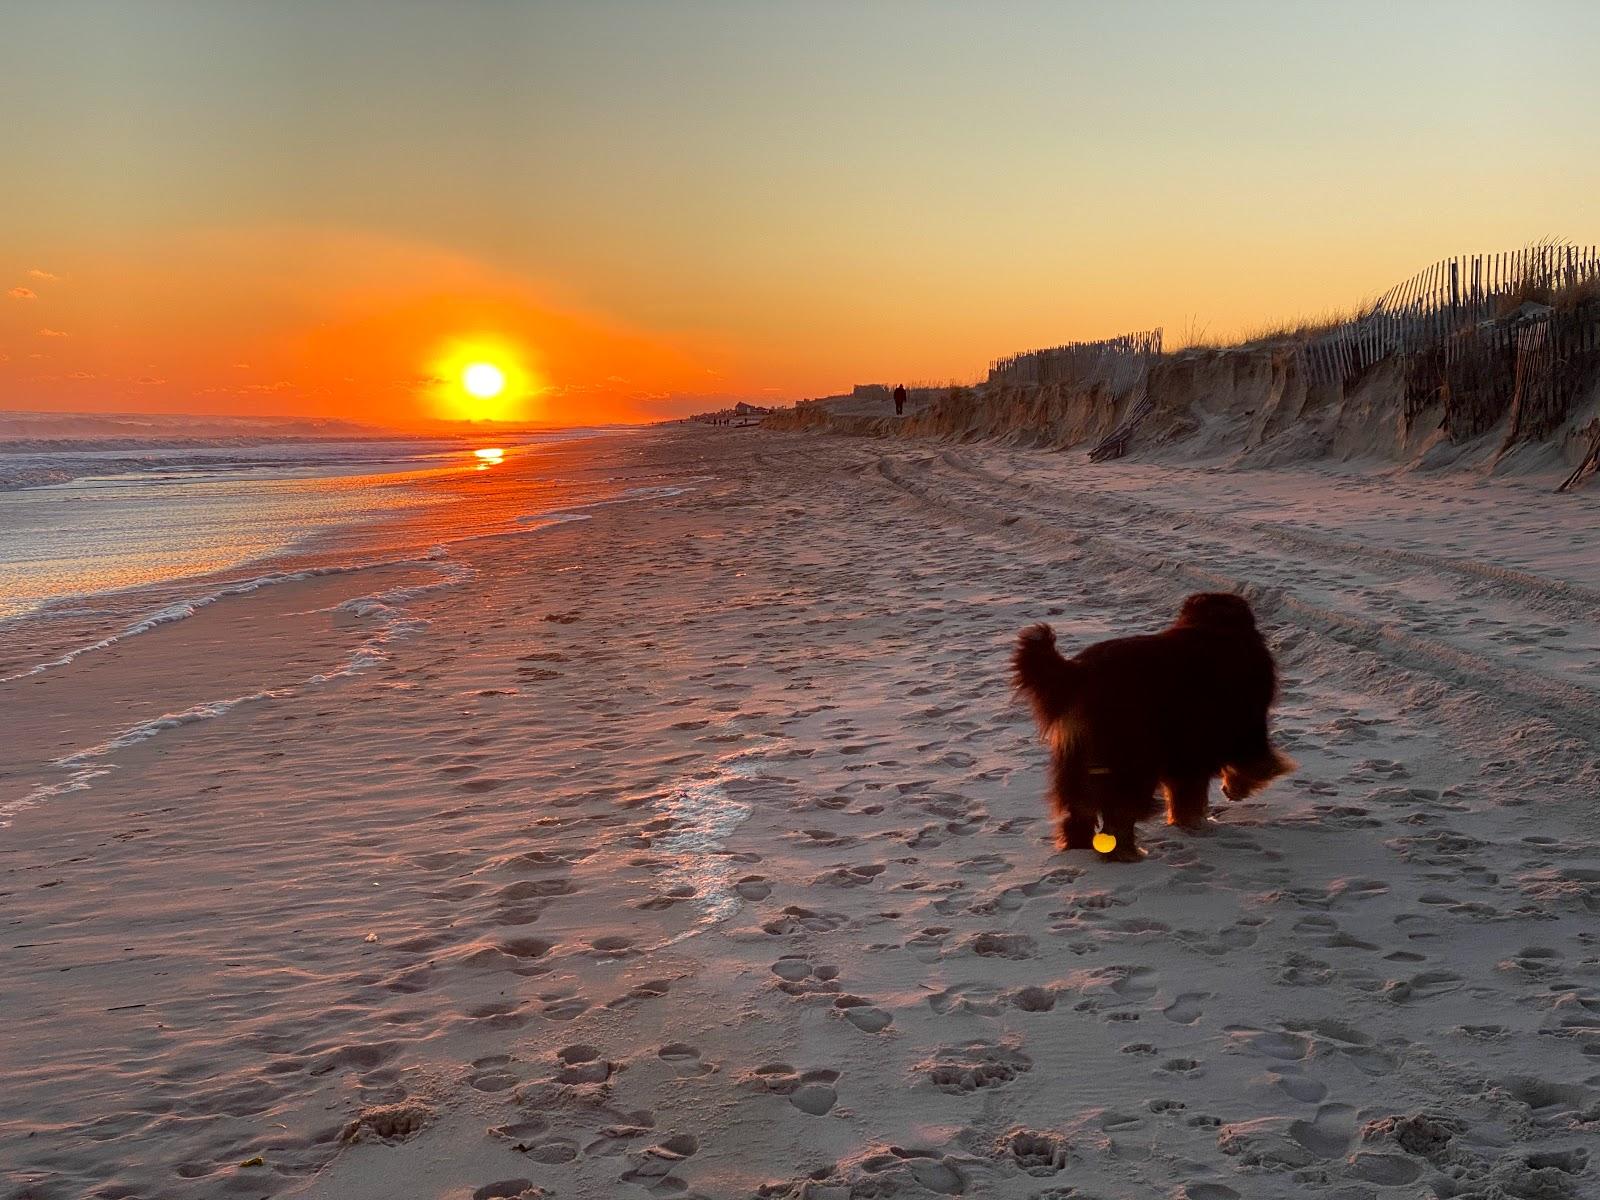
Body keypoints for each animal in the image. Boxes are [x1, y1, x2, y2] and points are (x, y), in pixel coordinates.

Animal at [1011, 595, 1299, 857]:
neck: (1213, 626)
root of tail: (1079, 672)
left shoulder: (1186, 753)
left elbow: (1186, 793)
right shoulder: (1243, 726)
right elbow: (1251, 764)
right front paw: (1230, 795)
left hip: (1078, 760)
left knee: (1080, 810)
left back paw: (1079, 847)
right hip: (1131, 760)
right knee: (1118, 813)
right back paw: (1128, 854)